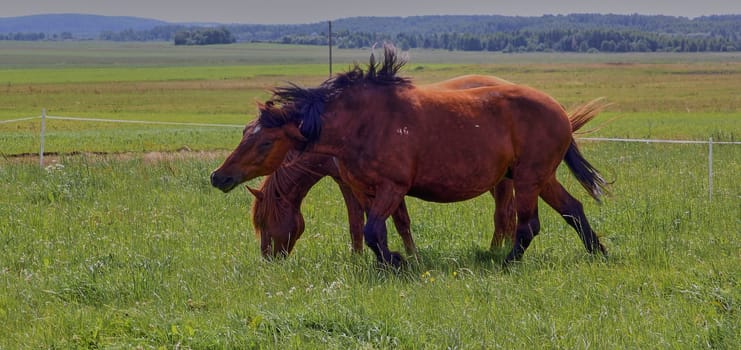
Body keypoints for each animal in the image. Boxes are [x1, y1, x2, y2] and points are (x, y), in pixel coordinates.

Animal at [210, 45, 608, 266]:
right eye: (245, 133)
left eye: (265, 143)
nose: (219, 177)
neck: (363, 122)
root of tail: (560, 112)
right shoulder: (366, 190)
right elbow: (379, 229)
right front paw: (391, 261)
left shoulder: (392, 187)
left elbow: (373, 230)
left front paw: (398, 262)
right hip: (540, 178)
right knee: (573, 209)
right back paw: (599, 253)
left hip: (526, 179)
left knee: (526, 225)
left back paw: (507, 262)